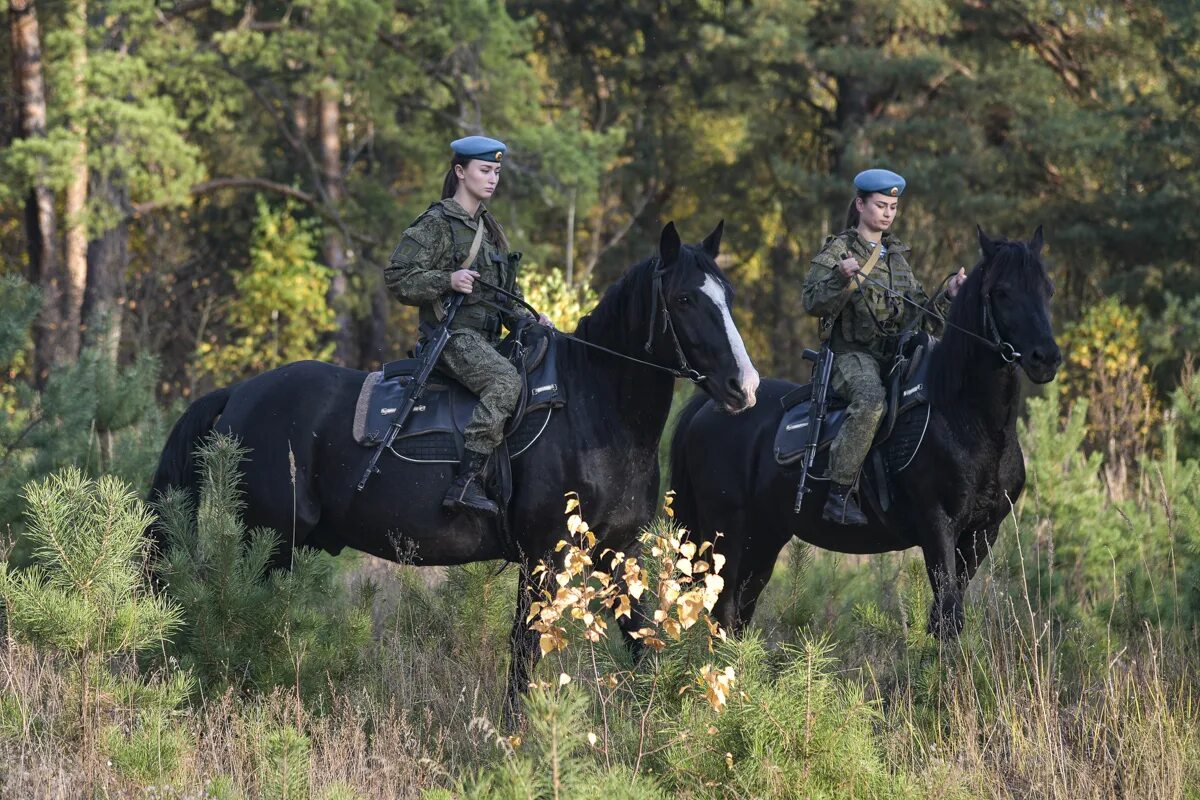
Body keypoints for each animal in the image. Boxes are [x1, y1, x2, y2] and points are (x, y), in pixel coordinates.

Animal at [147, 219, 748, 714]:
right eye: (685, 298)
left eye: (728, 295)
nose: (745, 386)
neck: (593, 407)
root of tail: (240, 392)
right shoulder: (542, 557)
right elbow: (524, 652)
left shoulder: (619, 552)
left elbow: (639, 638)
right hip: (266, 539)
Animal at [676, 225, 1060, 638]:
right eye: (1002, 291)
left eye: (1047, 288)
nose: (1047, 358)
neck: (969, 420)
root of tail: (709, 406)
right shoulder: (937, 526)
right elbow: (948, 616)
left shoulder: (982, 534)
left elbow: (945, 616)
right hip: (726, 532)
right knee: (723, 608)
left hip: (764, 538)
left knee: (740, 612)